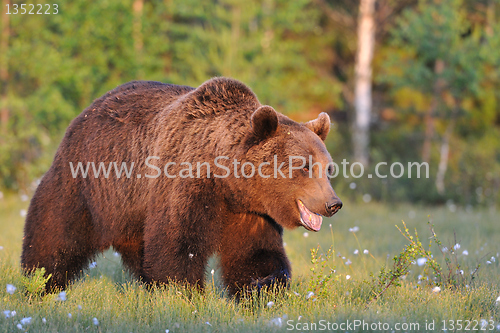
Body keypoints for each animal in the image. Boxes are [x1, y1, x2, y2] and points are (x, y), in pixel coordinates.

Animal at [23, 77, 344, 294]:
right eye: (304, 166)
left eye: (328, 168)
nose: (333, 204)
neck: (226, 181)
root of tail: (87, 110)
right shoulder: (185, 182)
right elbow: (177, 244)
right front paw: (183, 293)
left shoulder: (251, 211)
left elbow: (257, 254)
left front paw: (261, 288)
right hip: (87, 182)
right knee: (55, 232)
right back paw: (38, 282)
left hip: (131, 209)